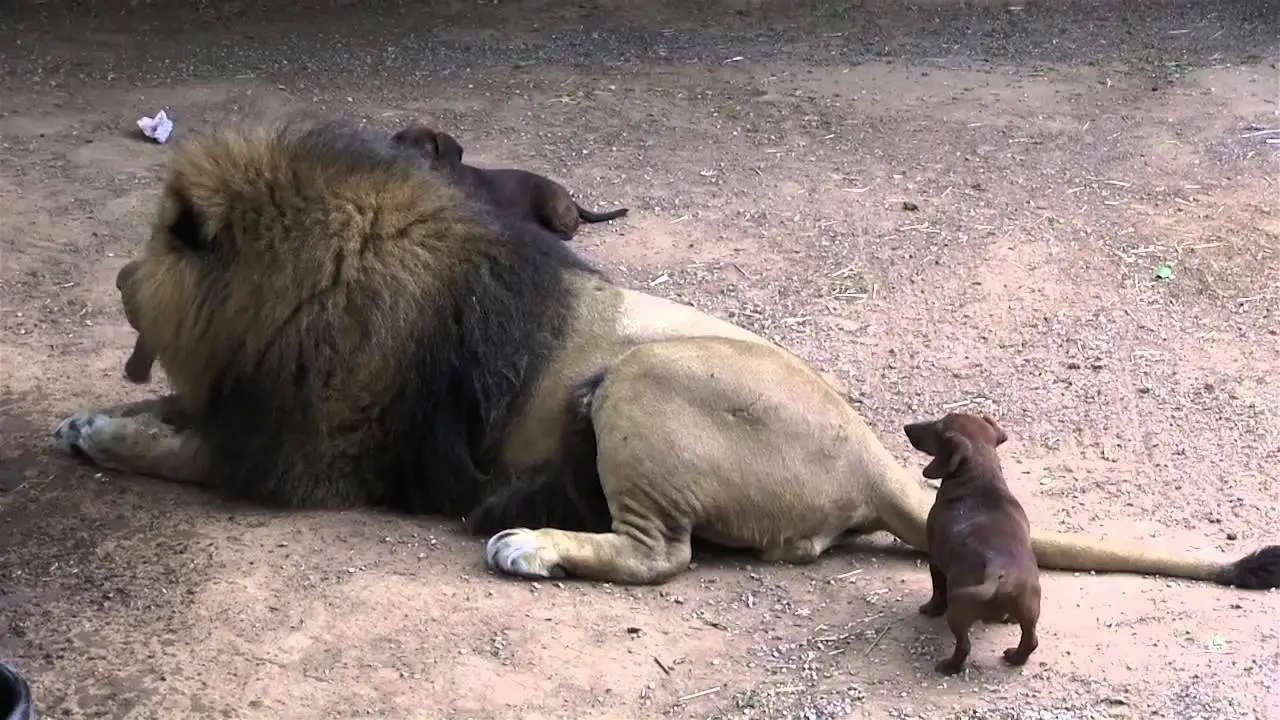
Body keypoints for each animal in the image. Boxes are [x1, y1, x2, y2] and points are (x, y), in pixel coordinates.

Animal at [55, 119, 1280, 589]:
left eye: (151, 246)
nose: (113, 281)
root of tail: (873, 461)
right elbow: (173, 420)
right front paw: (92, 419)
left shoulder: (308, 455)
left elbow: (177, 449)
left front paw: (103, 431)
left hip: (639, 383)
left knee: (661, 557)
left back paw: (528, 544)